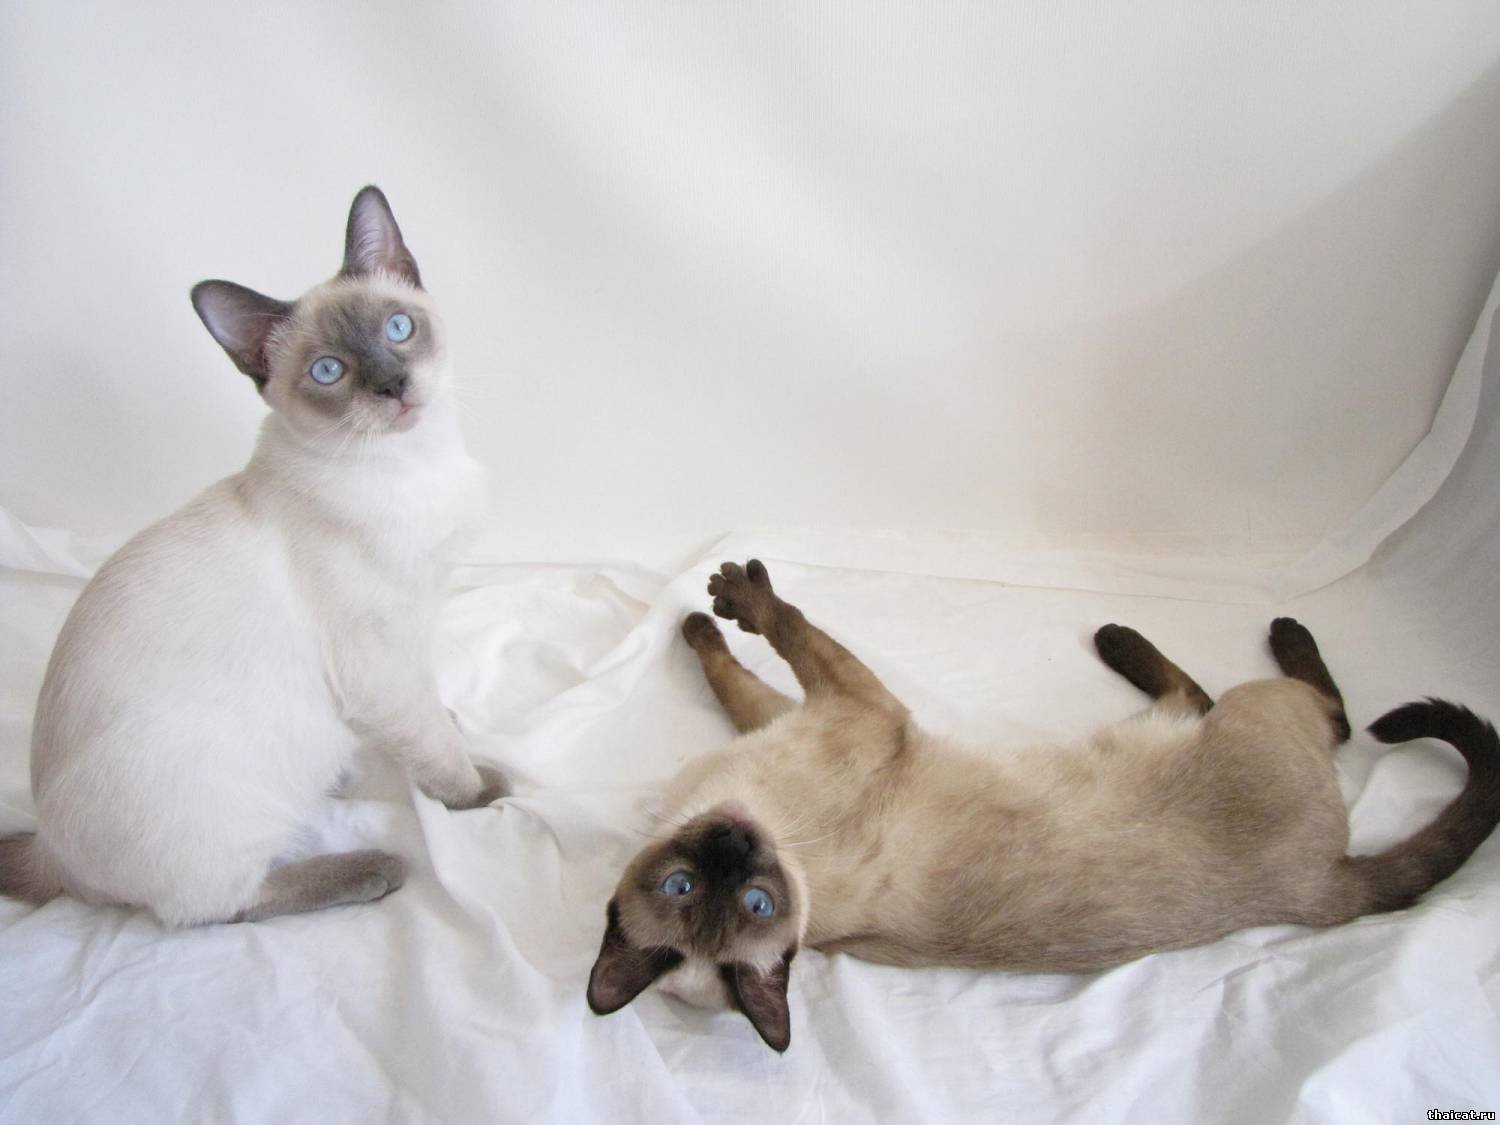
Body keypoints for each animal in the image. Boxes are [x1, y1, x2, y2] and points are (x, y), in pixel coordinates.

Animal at [0, 186, 505, 927]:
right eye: (329, 372)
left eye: (397, 329)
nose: (394, 384)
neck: (415, 464)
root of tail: (53, 850)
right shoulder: (379, 657)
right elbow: (435, 749)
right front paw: (481, 791)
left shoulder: (412, 635)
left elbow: (429, 709)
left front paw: (452, 723)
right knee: (219, 906)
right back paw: (372, 868)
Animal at [587, 559, 1500, 1052]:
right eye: (707, 892)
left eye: (750, 898)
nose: (735, 844)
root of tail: (1322, 884)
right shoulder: (830, 711)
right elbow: (766, 649)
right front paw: (717, 604)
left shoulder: (825, 708)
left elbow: (754, 653)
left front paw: (712, 609)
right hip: (1250, 718)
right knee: (1308, 714)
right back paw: (1153, 635)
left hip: (1231, 714)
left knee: (1280, 706)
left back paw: (1129, 636)